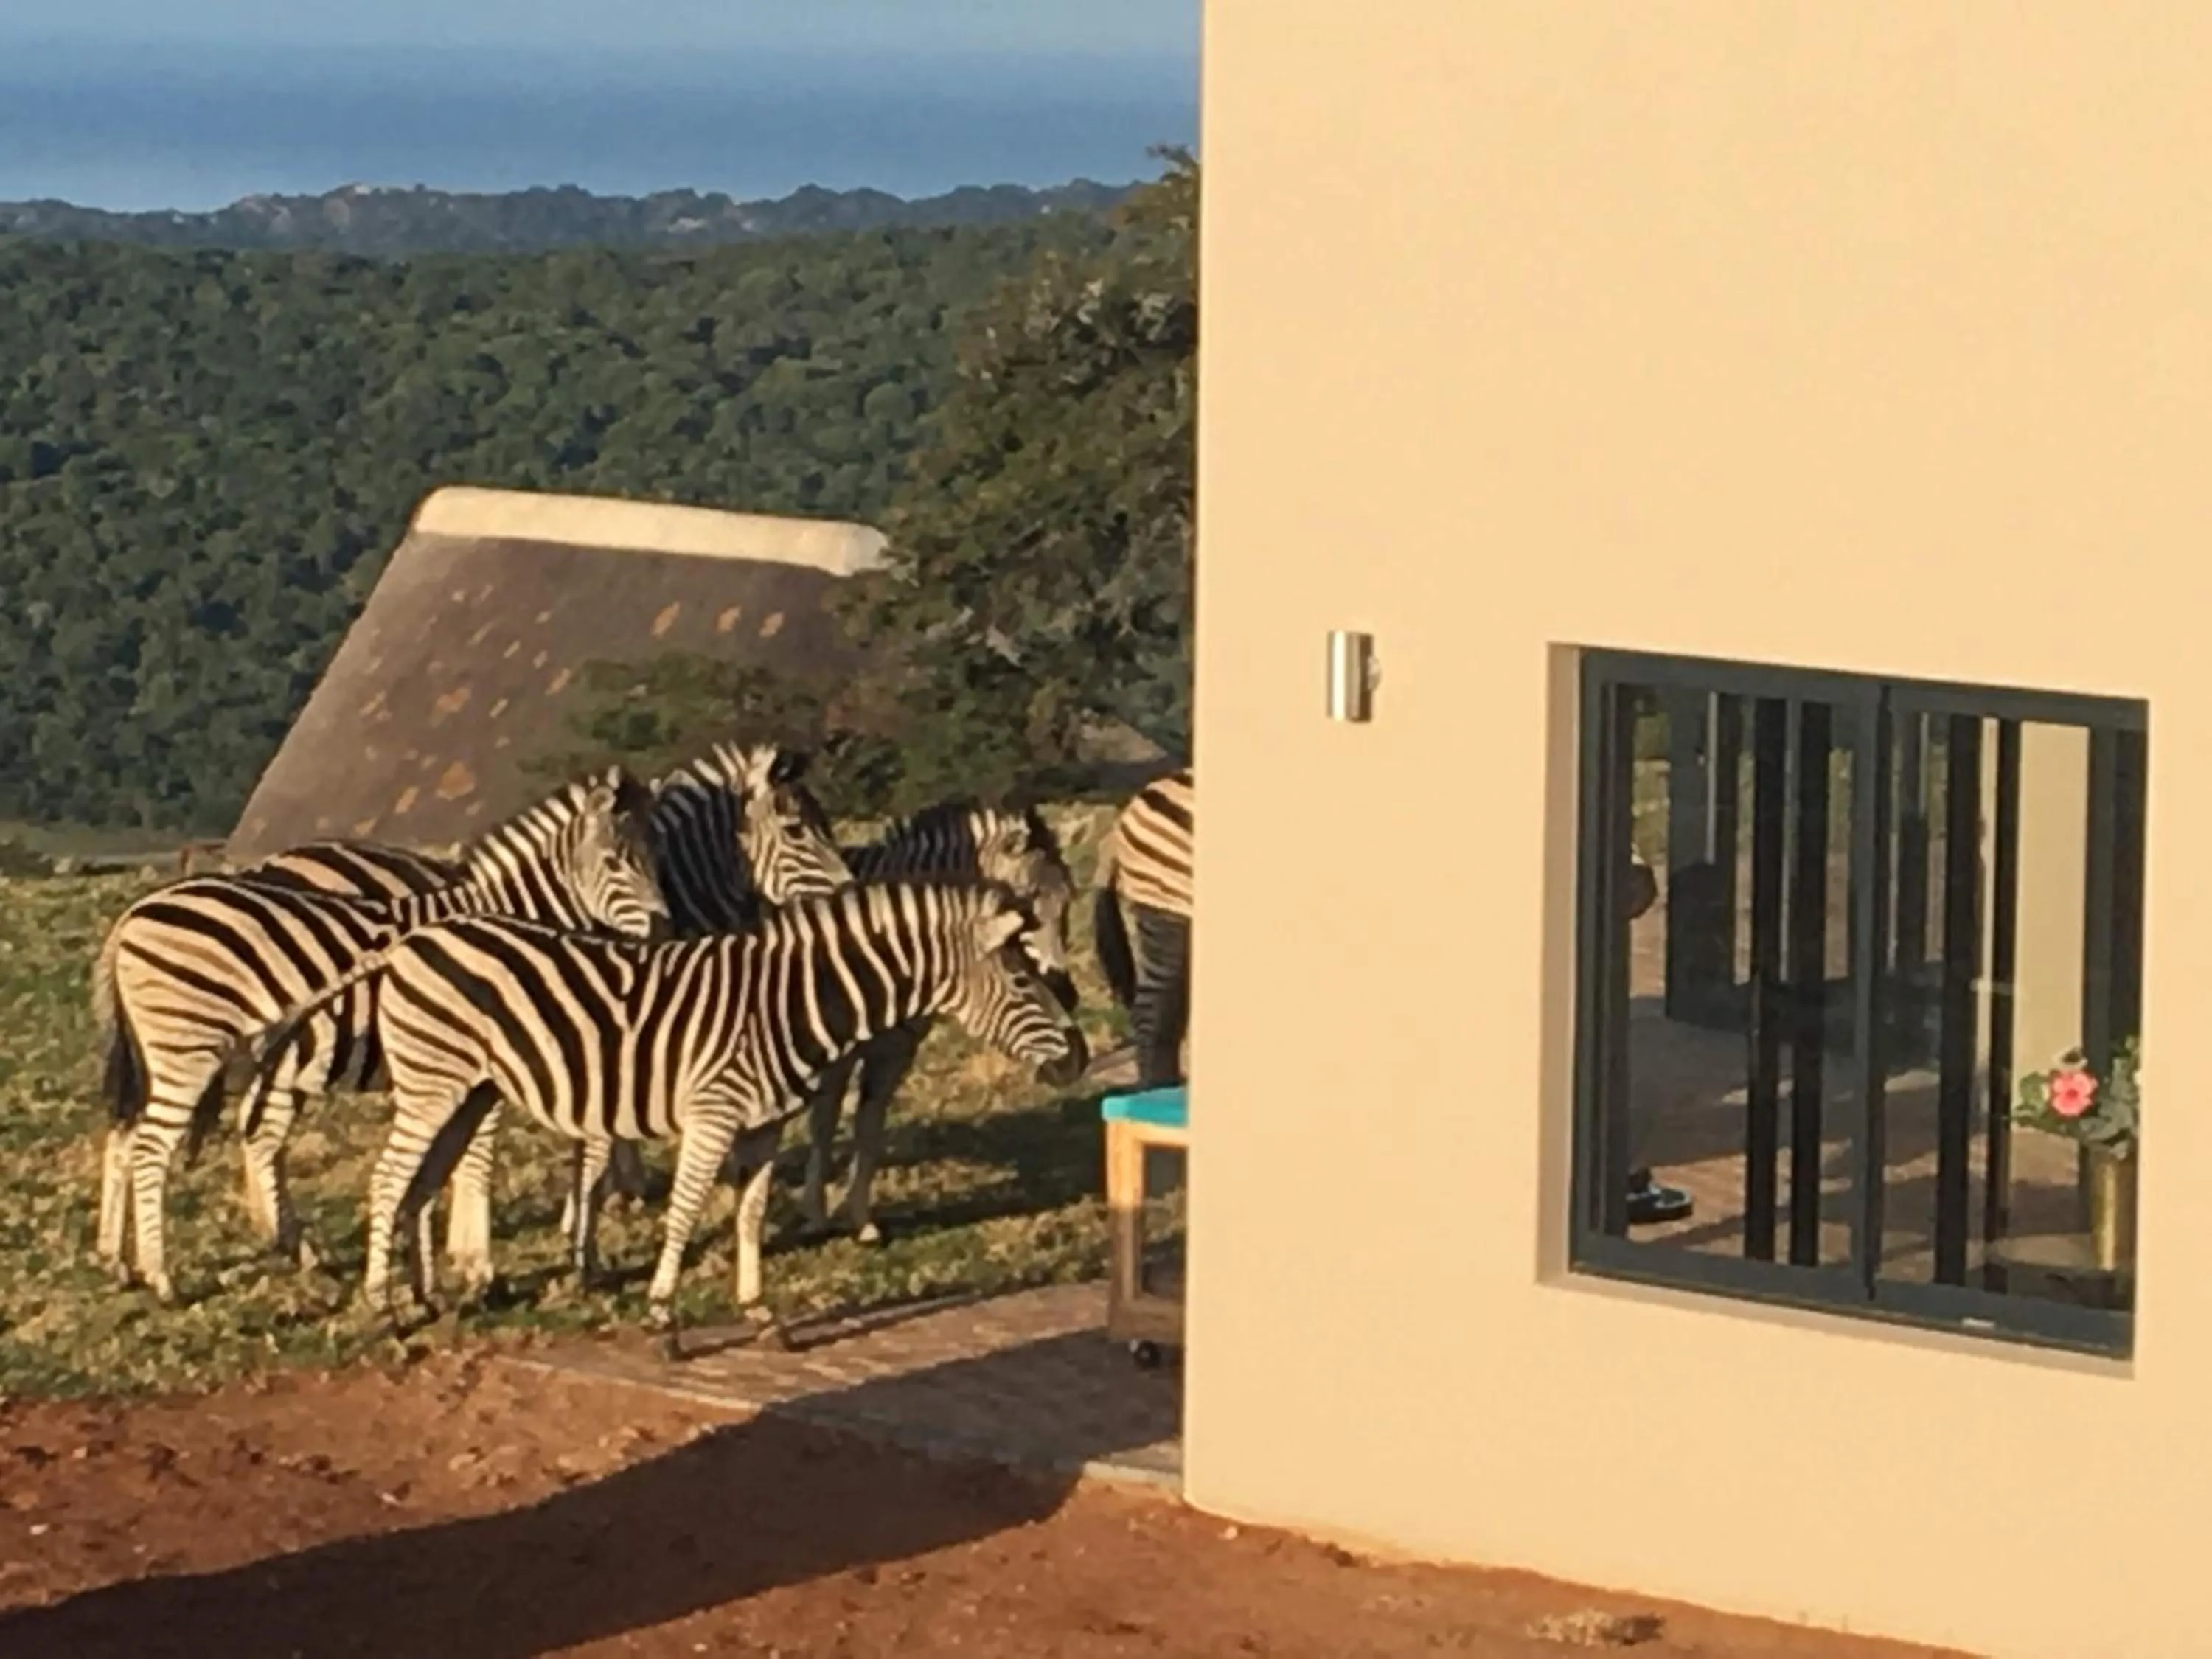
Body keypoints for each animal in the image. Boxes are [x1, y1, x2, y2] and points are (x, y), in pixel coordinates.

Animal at [91, 764, 669, 1303]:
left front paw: (449, 1260)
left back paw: (122, 1263)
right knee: (151, 1149)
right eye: (616, 862)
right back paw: (163, 1277)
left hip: (165, 1057)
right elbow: (478, 1157)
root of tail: (131, 917)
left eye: (655, 853)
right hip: (188, 1049)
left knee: (126, 1141)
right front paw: (477, 1265)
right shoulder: (488, 1060)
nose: (663, 929)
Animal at [244, 880, 1088, 1353]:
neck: (791, 1000)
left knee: (420, 1186)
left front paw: (760, 1315)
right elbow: (684, 1212)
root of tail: (412, 939)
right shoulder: (714, 1111)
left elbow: (748, 1217)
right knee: (389, 1181)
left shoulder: (764, 1123)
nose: (1079, 1061)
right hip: (433, 1083)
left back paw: (424, 1302)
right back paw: (383, 1309)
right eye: (1022, 979)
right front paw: (663, 1321)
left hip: (469, 1089)